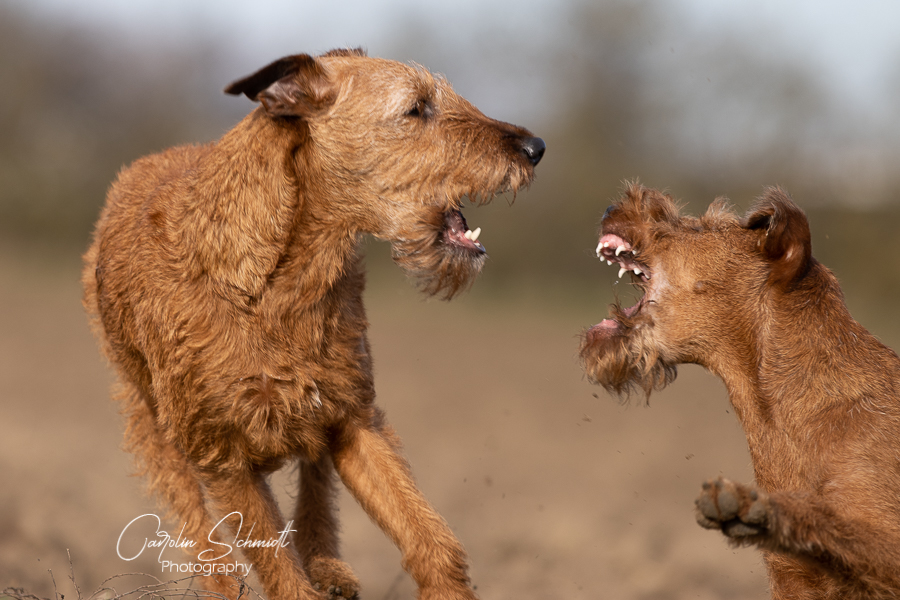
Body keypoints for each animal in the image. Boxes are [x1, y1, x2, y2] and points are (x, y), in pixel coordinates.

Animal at [83, 48, 544, 600]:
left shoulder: (355, 420)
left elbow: (432, 543)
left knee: (314, 476)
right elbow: (280, 574)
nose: (536, 148)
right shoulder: (221, 456)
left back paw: (329, 567)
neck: (275, 282)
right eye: (416, 108)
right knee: (200, 530)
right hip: (151, 424)